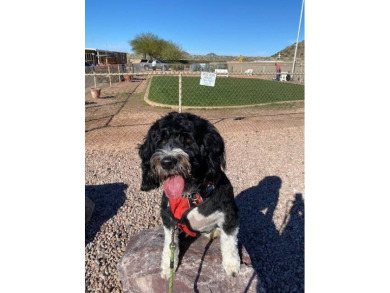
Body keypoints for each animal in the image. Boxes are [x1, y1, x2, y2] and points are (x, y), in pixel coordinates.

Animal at [139, 110, 239, 278]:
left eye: (188, 139)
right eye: (161, 141)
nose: (167, 162)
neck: (190, 194)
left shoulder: (229, 214)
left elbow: (229, 242)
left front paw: (232, 265)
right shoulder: (169, 218)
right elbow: (169, 243)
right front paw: (168, 266)